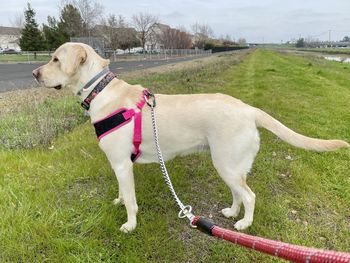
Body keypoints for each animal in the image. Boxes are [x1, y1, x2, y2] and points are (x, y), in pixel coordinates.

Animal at [32, 42, 348, 233]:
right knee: (239, 193)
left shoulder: (122, 163)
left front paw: (130, 225)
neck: (100, 89)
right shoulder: (120, 165)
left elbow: (132, 200)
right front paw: (119, 202)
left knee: (250, 195)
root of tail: (248, 109)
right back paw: (232, 213)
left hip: (226, 164)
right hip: (228, 164)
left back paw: (244, 223)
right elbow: (123, 193)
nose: (34, 73)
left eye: (55, 59)